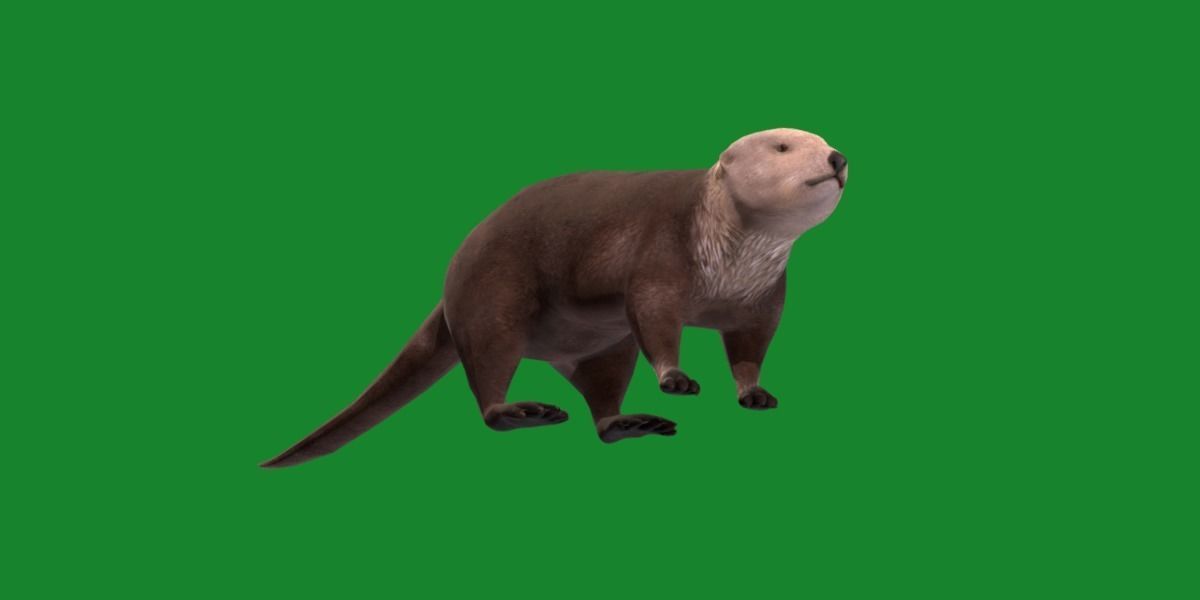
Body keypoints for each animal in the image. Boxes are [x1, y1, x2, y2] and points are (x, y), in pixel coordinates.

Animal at [262, 128, 848, 467]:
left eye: (822, 141)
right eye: (783, 147)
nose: (837, 157)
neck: (727, 257)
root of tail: (450, 281)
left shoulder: (763, 298)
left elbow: (750, 347)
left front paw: (755, 392)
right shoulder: (660, 255)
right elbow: (655, 319)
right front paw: (676, 379)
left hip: (598, 346)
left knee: (602, 393)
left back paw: (630, 423)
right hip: (491, 295)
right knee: (489, 375)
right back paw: (526, 411)